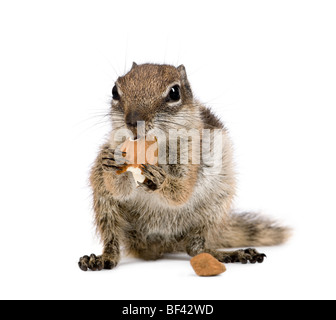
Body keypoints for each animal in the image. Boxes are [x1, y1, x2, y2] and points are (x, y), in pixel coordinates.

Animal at [78, 62, 288, 270]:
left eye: (174, 93)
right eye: (115, 91)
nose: (132, 121)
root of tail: (161, 245)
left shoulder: (192, 156)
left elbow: (181, 192)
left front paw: (160, 180)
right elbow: (118, 190)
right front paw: (113, 162)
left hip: (214, 208)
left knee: (196, 248)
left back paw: (229, 254)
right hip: (104, 204)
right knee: (112, 239)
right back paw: (103, 258)